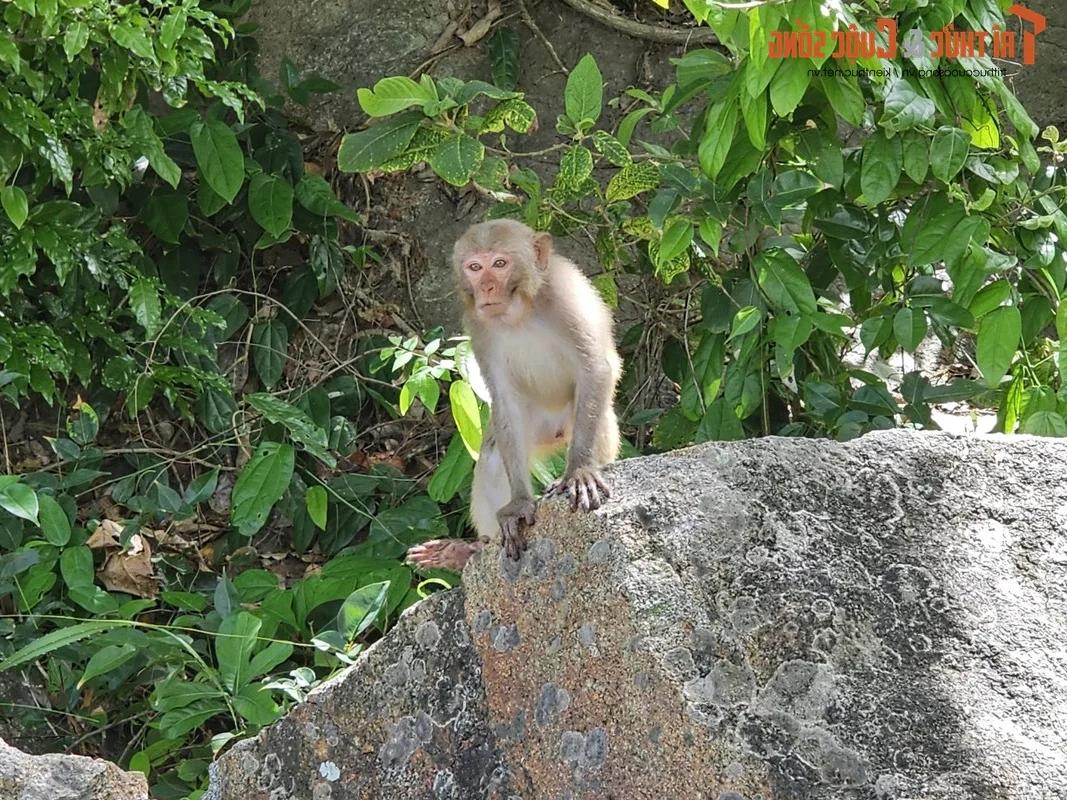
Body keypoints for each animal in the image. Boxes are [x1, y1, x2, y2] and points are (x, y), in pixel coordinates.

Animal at [406, 219, 621, 572]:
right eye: (475, 268)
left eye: (499, 264)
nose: (486, 289)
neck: (520, 310)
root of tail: (555, 432)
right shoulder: (478, 325)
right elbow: (503, 400)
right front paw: (520, 503)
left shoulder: (564, 297)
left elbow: (595, 370)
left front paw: (579, 470)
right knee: (495, 452)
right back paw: (467, 551)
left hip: (577, 420)